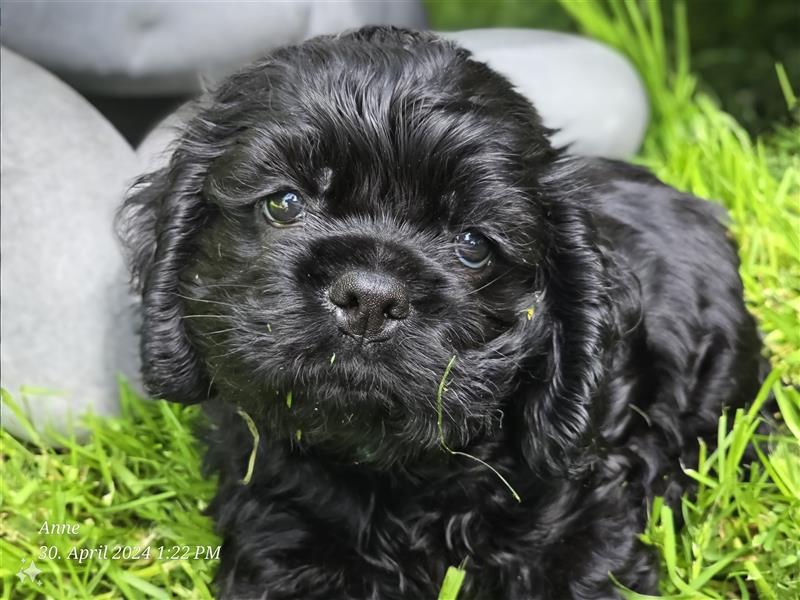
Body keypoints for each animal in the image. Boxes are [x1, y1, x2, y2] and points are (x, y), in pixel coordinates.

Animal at [119, 25, 764, 596]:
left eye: (473, 244)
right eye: (283, 204)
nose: (370, 297)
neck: (397, 472)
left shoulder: (583, 504)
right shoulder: (277, 513)